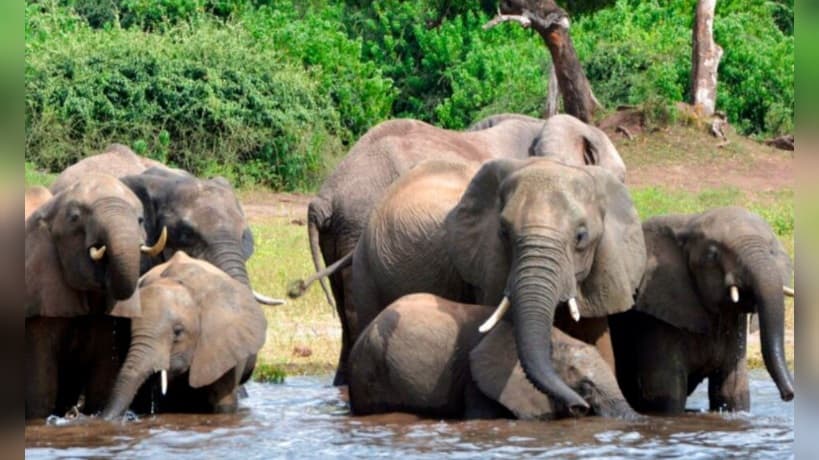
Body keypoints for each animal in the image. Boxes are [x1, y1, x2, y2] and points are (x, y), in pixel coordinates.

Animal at [609, 207, 795, 414]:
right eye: (712, 256)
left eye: (772, 251)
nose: (788, 395)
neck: (690, 222)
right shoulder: (655, 315)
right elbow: (667, 395)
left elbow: (732, 391)